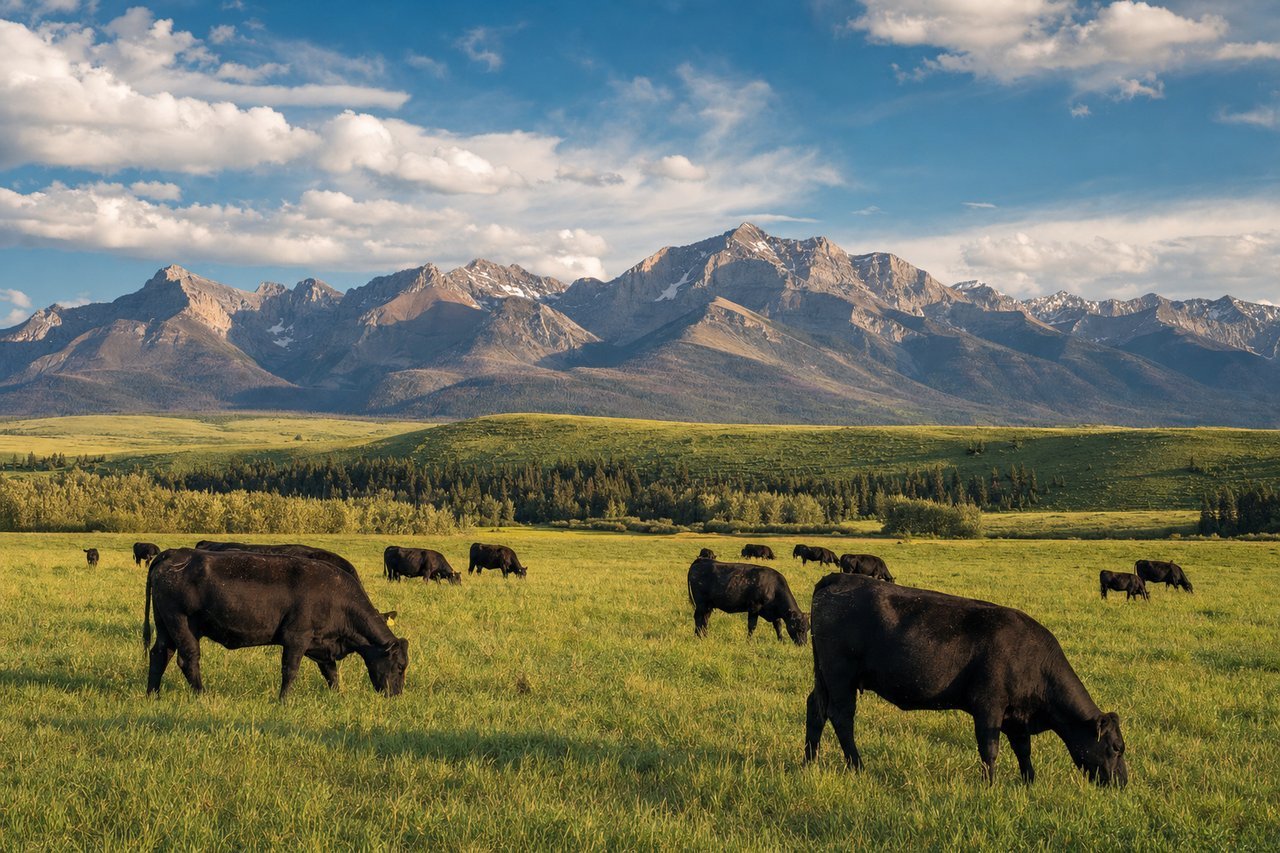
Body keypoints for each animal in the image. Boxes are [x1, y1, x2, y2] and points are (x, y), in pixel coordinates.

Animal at [143, 548, 408, 700]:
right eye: (400, 666)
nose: (396, 695)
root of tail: (173, 555)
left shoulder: (320, 644)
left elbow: (331, 673)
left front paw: (338, 696)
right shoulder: (297, 638)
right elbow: (290, 670)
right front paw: (283, 700)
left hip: (165, 626)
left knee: (160, 654)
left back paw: (153, 694)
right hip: (181, 623)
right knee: (188, 659)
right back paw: (202, 694)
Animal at [805, 573, 1128, 787]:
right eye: (1116, 747)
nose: (1122, 783)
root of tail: (837, 578)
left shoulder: (1016, 715)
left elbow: (1023, 749)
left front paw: (1029, 782)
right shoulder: (989, 706)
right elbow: (990, 748)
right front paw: (990, 786)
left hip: (824, 676)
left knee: (816, 709)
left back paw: (809, 761)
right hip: (840, 675)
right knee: (842, 717)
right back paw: (858, 766)